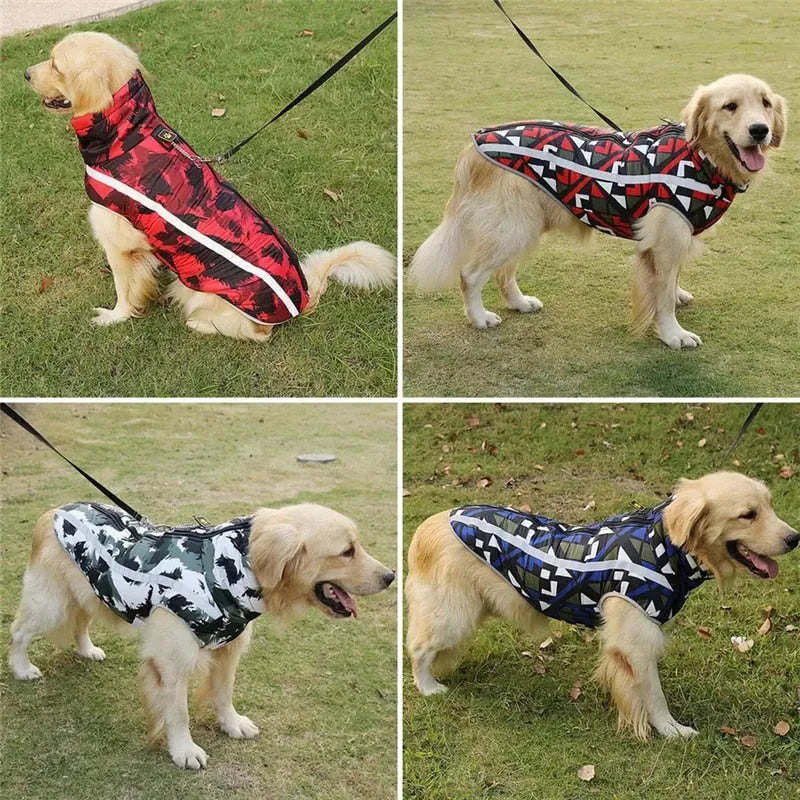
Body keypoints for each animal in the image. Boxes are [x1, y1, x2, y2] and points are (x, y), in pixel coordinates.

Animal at [6, 500, 394, 768]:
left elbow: (223, 694)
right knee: (18, 631)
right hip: (50, 602)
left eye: (356, 546)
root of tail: (52, 511)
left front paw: (232, 724)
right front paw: (184, 750)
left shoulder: (229, 649)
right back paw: (22, 668)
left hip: (90, 592)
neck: (231, 570)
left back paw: (87, 650)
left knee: (80, 623)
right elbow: (178, 712)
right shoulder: (171, 661)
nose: (390, 576)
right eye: (346, 551)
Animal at [26, 32, 396, 340]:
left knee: (255, 334)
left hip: (198, 291)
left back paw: (200, 324)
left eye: (56, 65)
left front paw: (114, 317)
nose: (26, 73)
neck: (127, 133)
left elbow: (124, 289)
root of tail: (302, 300)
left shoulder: (118, 243)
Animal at [410, 472, 796, 740]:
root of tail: (429, 523)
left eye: (770, 505)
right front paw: (671, 731)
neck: (666, 546)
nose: (795, 538)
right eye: (748, 515)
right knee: (416, 649)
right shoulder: (636, 642)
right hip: (453, 616)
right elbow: (653, 695)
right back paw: (427, 687)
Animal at [412, 74, 788, 346]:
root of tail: (473, 144)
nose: (760, 130)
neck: (701, 159)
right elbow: (662, 296)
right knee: (470, 274)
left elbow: (673, 282)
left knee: (504, 273)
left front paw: (679, 296)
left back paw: (519, 302)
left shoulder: (677, 237)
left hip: (522, 227)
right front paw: (673, 335)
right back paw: (479, 318)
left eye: (766, 103)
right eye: (730, 106)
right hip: (513, 228)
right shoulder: (663, 243)